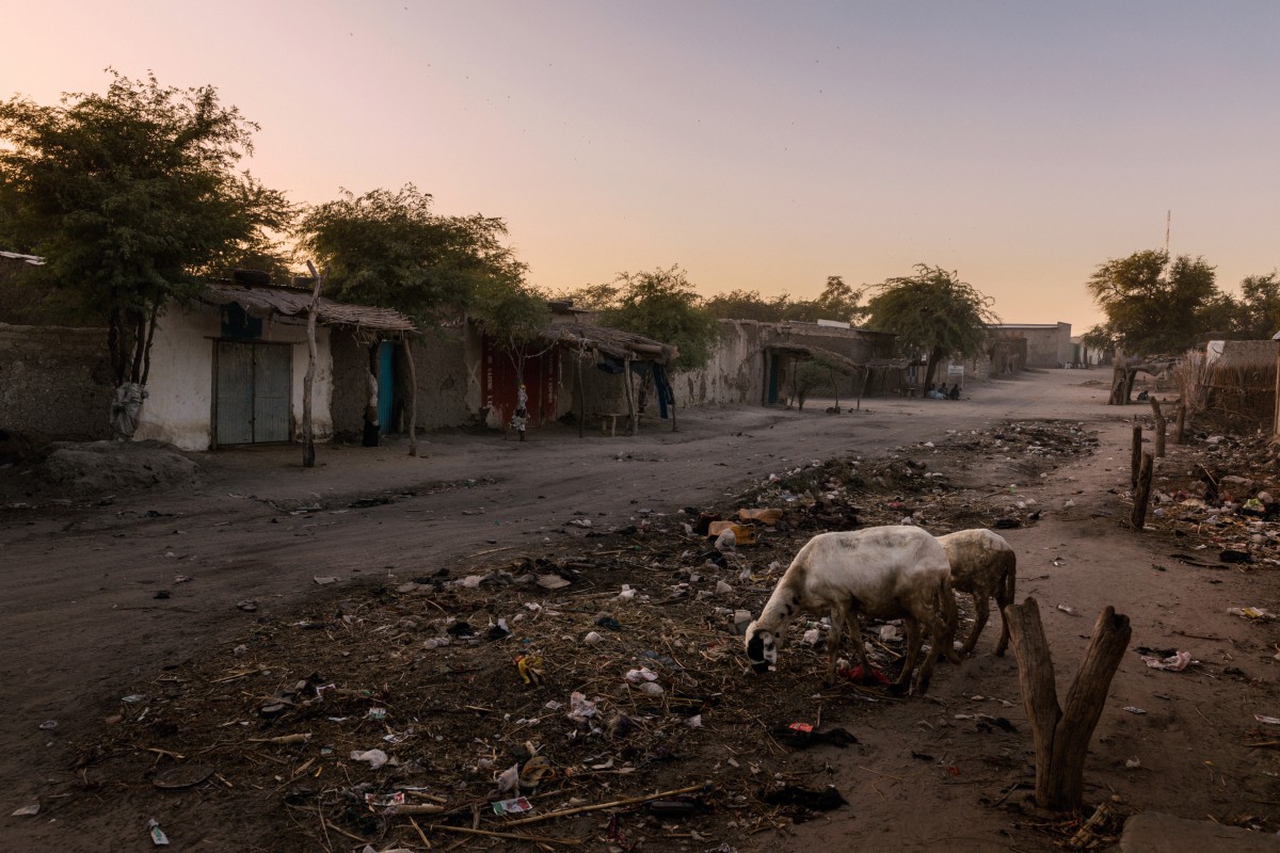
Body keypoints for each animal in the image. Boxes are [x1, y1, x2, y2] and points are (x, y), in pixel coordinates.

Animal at [742, 525, 962, 691]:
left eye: (757, 647)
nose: (759, 671)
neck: (801, 581)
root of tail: (943, 564)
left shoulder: (839, 601)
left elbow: (833, 642)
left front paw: (829, 680)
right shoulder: (850, 605)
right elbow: (857, 640)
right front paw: (868, 674)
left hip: (917, 598)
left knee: (939, 629)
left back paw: (923, 678)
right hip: (910, 605)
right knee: (915, 641)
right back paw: (900, 684)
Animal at [936, 525, 1013, 655]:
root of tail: (1007, 549)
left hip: (982, 582)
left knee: (983, 613)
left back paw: (966, 648)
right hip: (999, 580)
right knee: (1004, 608)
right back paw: (1000, 648)